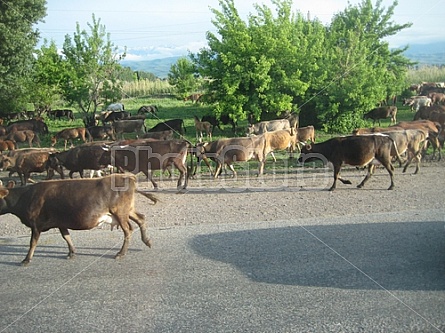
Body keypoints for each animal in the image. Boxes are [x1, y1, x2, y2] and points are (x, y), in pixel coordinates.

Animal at [0, 174, 158, 264]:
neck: (26, 197)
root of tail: (128, 177)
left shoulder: (36, 224)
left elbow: (33, 243)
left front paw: (26, 259)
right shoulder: (60, 222)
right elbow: (66, 236)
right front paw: (71, 252)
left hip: (120, 212)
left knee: (128, 230)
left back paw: (121, 253)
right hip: (127, 210)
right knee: (141, 218)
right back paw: (147, 241)